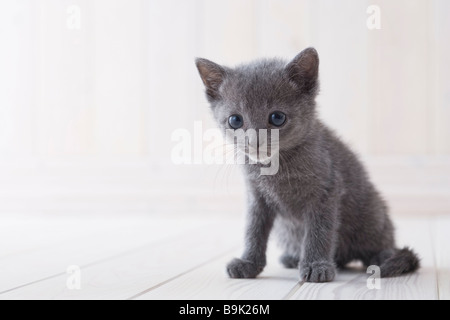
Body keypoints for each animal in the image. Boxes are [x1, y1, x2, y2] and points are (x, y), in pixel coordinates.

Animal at [195, 48, 420, 282]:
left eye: (277, 117)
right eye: (235, 120)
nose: (255, 141)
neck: (275, 169)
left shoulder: (326, 192)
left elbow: (318, 231)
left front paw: (316, 265)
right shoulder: (255, 197)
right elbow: (253, 230)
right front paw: (248, 263)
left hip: (372, 214)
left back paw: (384, 258)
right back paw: (294, 258)